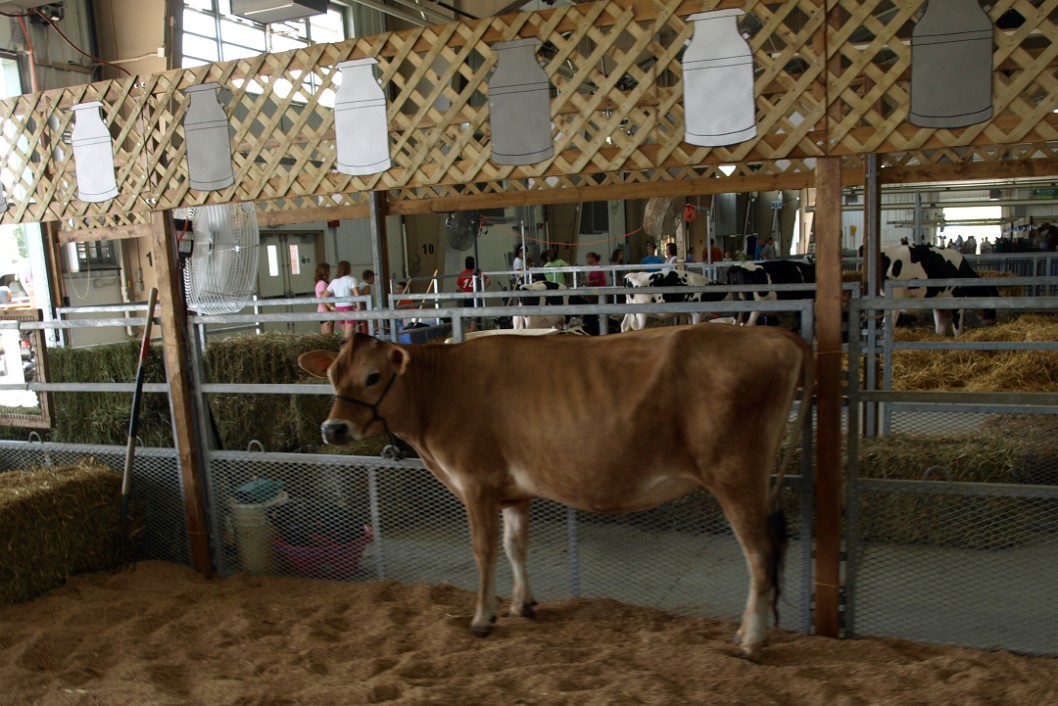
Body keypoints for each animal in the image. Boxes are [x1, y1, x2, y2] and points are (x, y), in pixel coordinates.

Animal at [302, 326, 812, 664]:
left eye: (372, 377)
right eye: (331, 375)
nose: (332, 429)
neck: (438, 393)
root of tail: (770, 334)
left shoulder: (476, 482)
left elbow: (484, 551)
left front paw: (482, 617)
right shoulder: (515, 491)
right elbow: (515, 546)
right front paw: (521, 605)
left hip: (736, 477)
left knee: (759, 554)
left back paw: (751, 641)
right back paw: (746, 634)